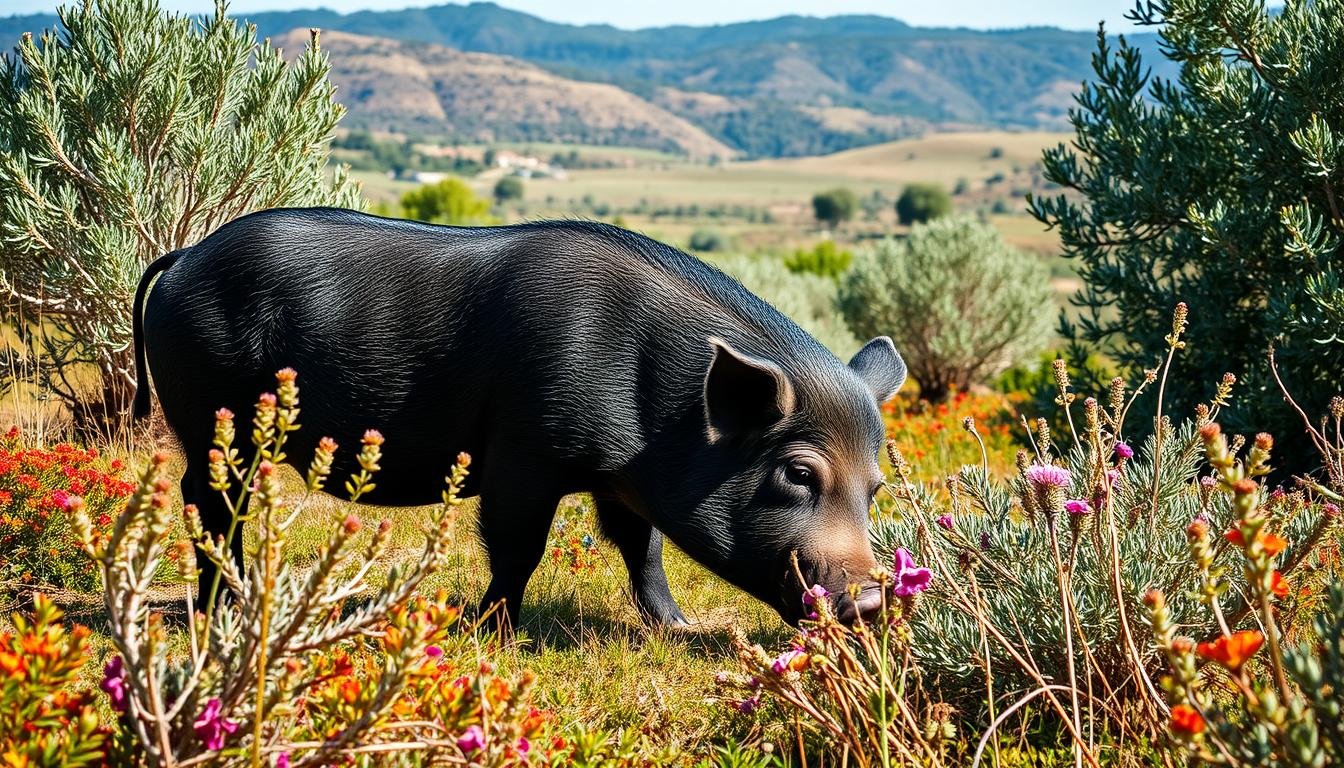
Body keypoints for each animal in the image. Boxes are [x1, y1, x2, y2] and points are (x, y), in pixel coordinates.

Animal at [131, 207, 908, 626]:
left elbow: (642, 545)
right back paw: (223, 608)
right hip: (212, 416)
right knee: (206, 498)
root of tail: (184, 255)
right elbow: (517, 545)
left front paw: (677, 627)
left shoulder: (621, 480)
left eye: (874, 489)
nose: (874, 600)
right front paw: (491, 629)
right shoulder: (522, 454)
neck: (661, 420)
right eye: (798, 474)